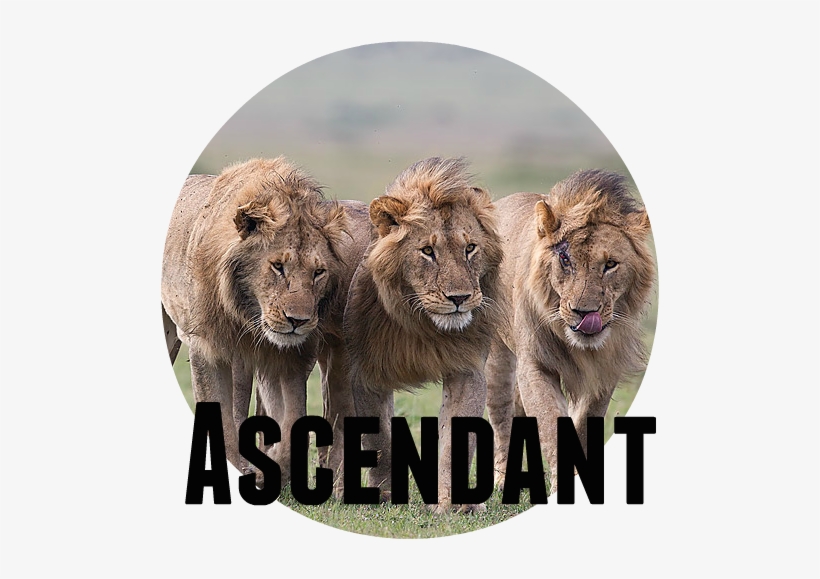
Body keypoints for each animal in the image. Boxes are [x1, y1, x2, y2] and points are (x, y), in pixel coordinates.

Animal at [161, 157, 370, 486]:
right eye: (278, 266)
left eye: (318, 272)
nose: (298, 320)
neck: (248, 314)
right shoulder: (207, 348)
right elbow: (222, 422)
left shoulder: (289, 357)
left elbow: (292, 422)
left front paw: (270, 469)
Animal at [344, 157, 503, 513]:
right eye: (427, 251)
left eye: (470, 248)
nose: (459, 298)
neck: (423, 325)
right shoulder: (364, 373)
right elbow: (379, 439)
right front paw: (385, 494)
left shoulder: (466, 368)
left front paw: (457, 503)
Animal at [485, 169, 656, 496]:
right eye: (566, 260)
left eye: (610, 264)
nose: (583, 312)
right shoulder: (534, 365)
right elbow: (550, 423)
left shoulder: (603, 371)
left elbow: (585, 424)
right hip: (497, 357)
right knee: (501, 417)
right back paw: (500, 480)